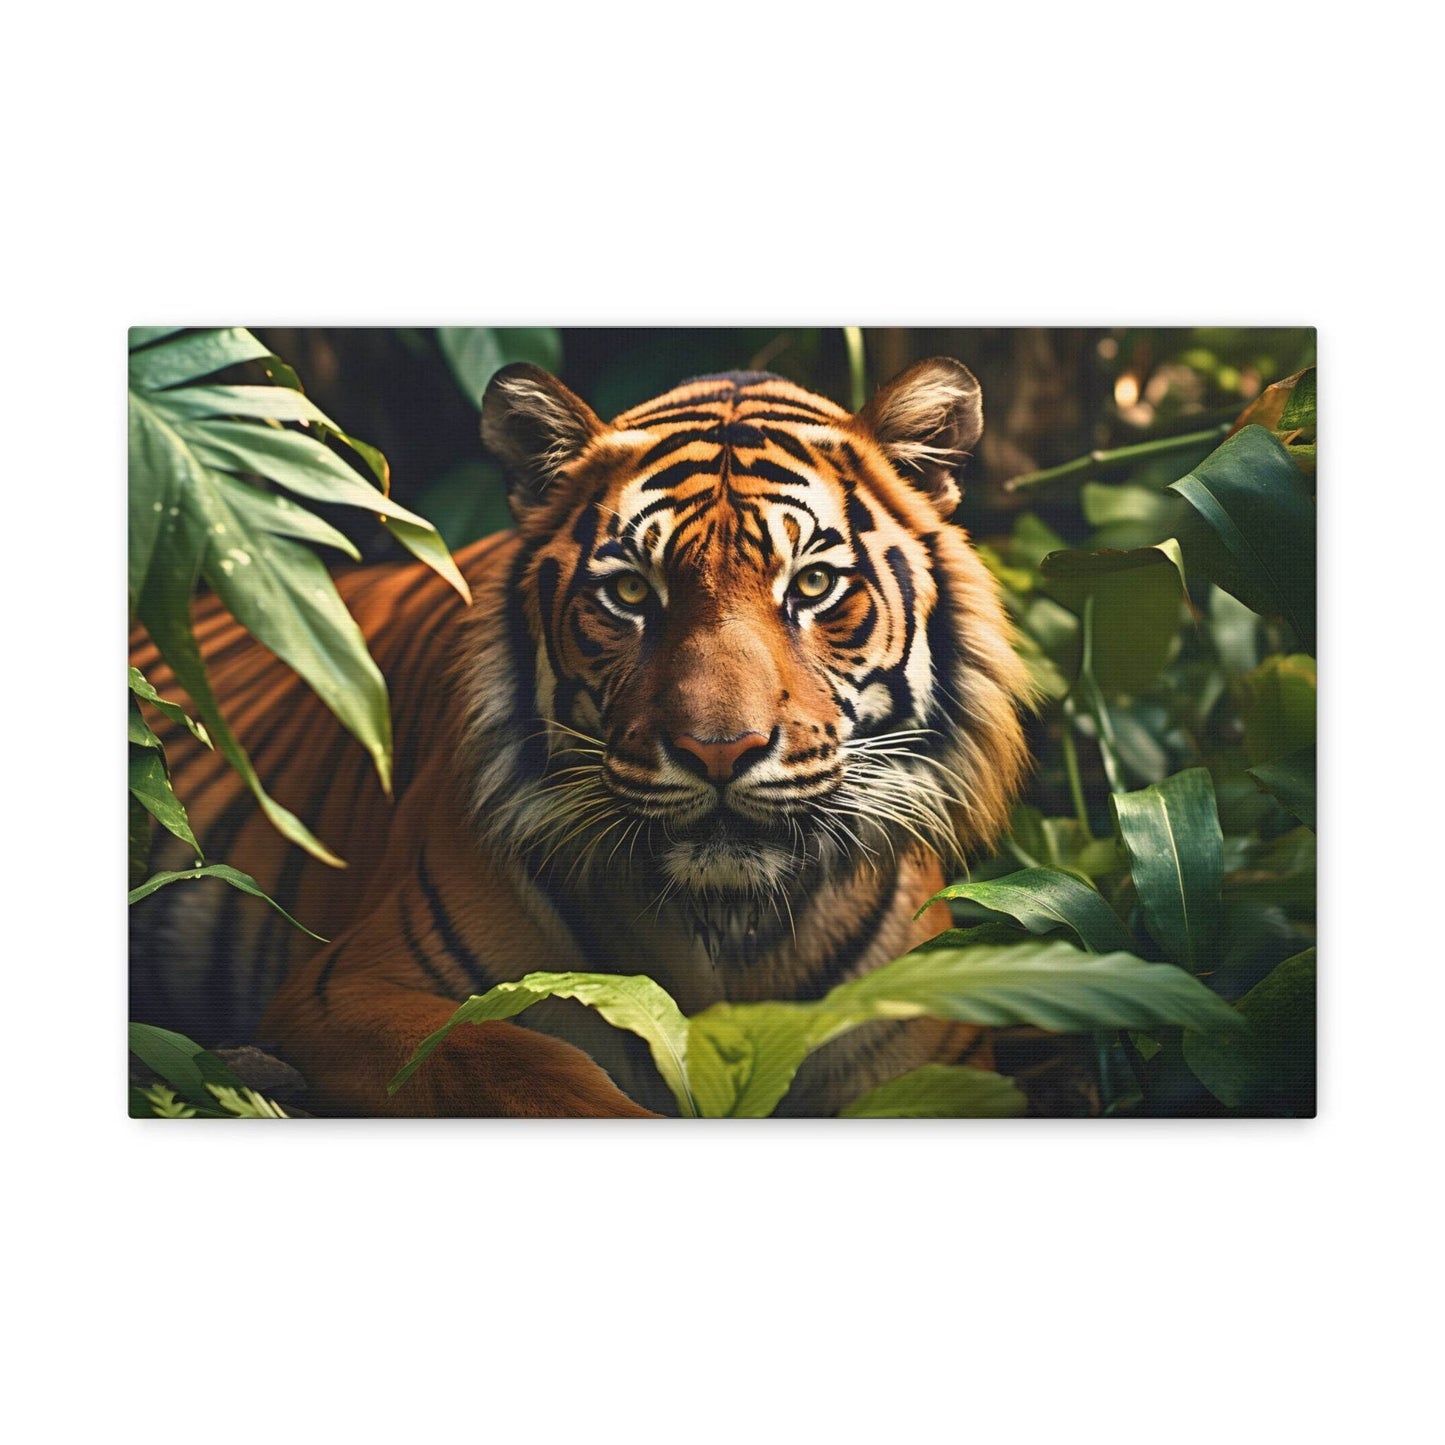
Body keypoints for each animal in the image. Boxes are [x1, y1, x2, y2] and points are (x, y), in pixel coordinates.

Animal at [130, 357, 1033, 1117]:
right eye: (630, 593)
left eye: (812, 584)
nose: (718, 750)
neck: (724, 930)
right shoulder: (348, 988)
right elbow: (516, 1063)